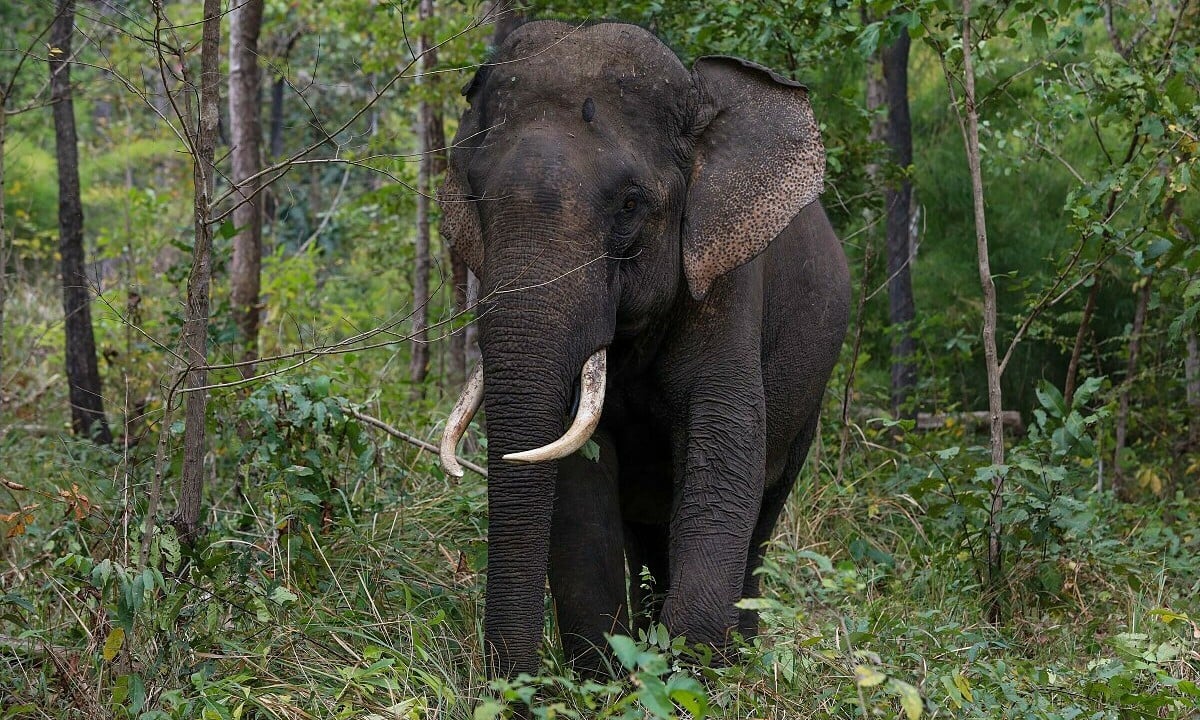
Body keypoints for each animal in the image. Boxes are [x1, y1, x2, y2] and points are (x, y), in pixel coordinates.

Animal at [436, 19, 849, 676]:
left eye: (631, 203)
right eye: (472, 196)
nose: (507, 685)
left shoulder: (726, 281)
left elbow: (725, 443)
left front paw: (688, 670)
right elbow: (580, 474)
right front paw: (605, 675)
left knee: (764, 507)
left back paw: (741, 651)